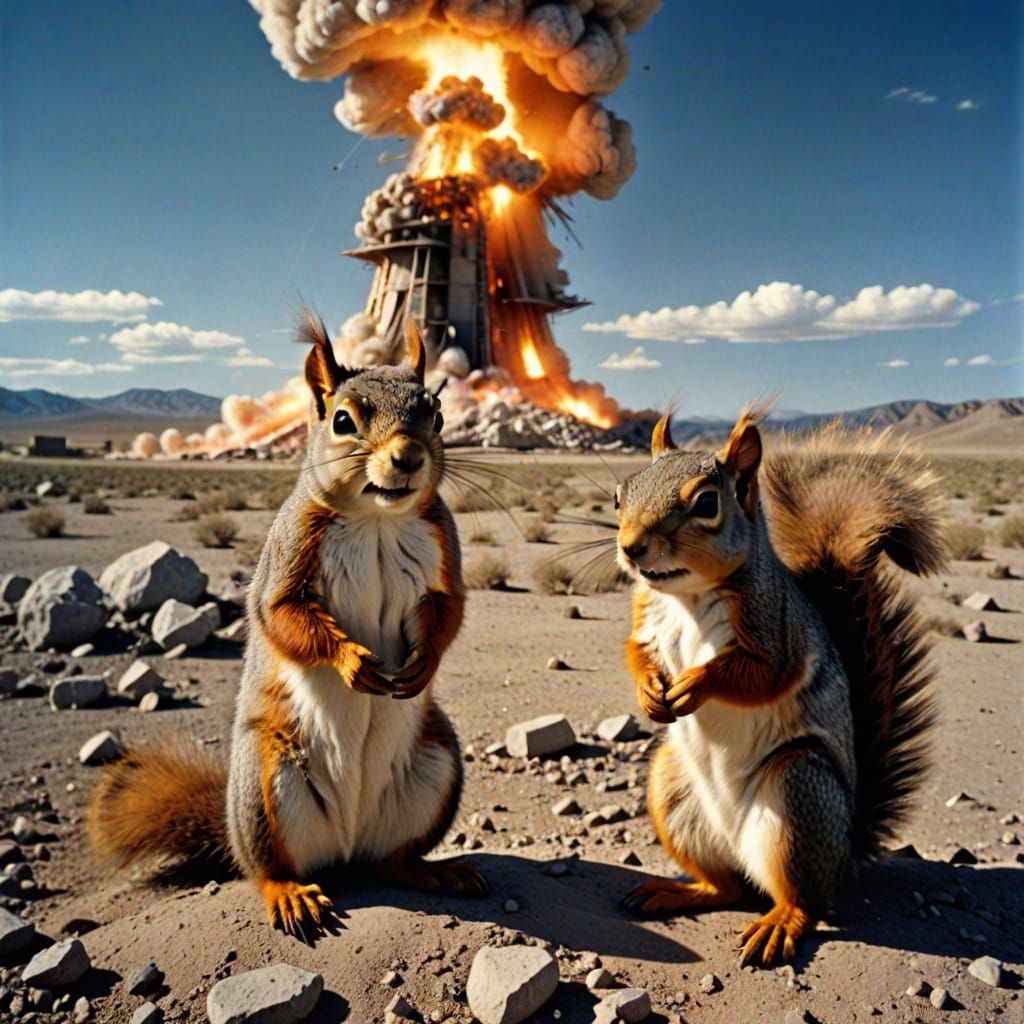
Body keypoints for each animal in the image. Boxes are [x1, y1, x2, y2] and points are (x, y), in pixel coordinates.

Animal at [87, 314, 487, 937]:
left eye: (439, 414)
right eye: (343, 420)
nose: (408, 458)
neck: (377, 519)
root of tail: (345, 850)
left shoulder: (445, 552)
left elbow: (449, 612)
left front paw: (423, 663)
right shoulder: (288, 550)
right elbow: (281, 615)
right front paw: (353, 661)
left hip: (438, 763)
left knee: (393, 860)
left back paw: (434, 871)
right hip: (265, 781)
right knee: (268, 867)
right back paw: (291, 894)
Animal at [616, 406, 944, 966]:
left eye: (707, 502)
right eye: (621, 491)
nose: (630, 549)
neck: (687, 596)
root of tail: (845, 851)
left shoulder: (775, 630)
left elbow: (759, 675)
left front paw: (692, 686)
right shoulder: (646, 617)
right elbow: (636, 652)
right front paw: (650, 692)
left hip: (796, 794)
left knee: (803, 899)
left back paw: (778, 924)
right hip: (672, 792)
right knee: (725, 888)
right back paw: (675, 891)